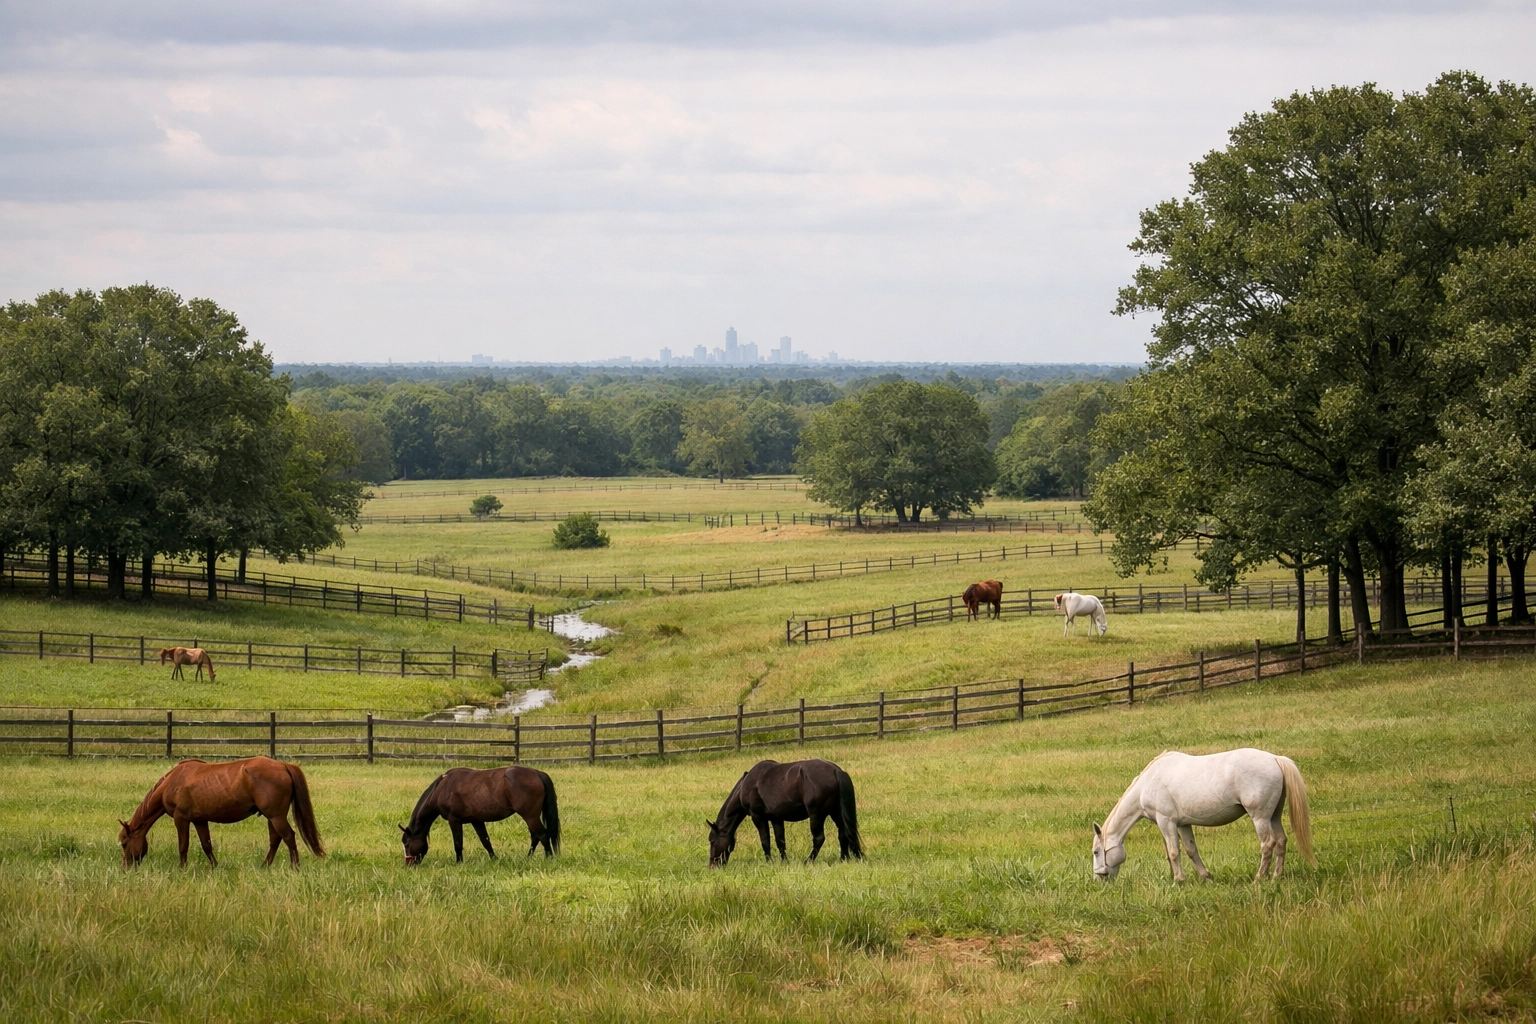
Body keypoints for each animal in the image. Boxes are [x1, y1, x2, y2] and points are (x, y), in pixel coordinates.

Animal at [118, 756, 323, 868]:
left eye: (124, 844)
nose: (125, 867)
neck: (173, 781)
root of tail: (283, 766)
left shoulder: (181, 819)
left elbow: (183, 846)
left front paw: (182, 868)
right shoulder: (200, 820)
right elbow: (206, 845)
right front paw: (215, 867)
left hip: (275, 816)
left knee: (288, 837)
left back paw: (295, 867)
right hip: (271, 817)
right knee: (275, 839)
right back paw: (265, 866)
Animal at [400, 765, 560, 865]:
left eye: (407, 844)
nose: (408, 864)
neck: (442, 788)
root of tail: (537, 773)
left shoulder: (454, 820)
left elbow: (458, 844)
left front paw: (459, 863)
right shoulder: (476, 820)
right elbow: (486, 841)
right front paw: (494, 859)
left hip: (530, 816)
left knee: (542, 835)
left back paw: (549, 858)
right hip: (531, 817)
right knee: (535, 836)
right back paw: (528, 857)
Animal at [707, 759, 862, 866]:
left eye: (712, 841)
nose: (713, 865)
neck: (747, 785)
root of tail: (836, 771)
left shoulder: (758, 817)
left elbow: (765, 841)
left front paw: (769, 862)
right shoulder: (776, 818)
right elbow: (780, 841)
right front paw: (784, 862)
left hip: (816, 815)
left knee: (819, 838)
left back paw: (808, 861)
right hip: (836, 813)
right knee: (843, 834)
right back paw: (843, 859)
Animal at [1091, 748, 1315, 883]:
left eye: (1096, 852)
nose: (1098, 879)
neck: (1148, 783)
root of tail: (1276, 759)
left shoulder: (1166, 822)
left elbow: (1173, 852)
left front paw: (1178, 881)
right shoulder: (1183, 824)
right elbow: (1191, 850)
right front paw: (1206, 877)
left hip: (1260, 818)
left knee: (1268, 845)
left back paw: (1259, 879)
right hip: (1273, 816)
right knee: (1281, 841)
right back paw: (1276, 876)